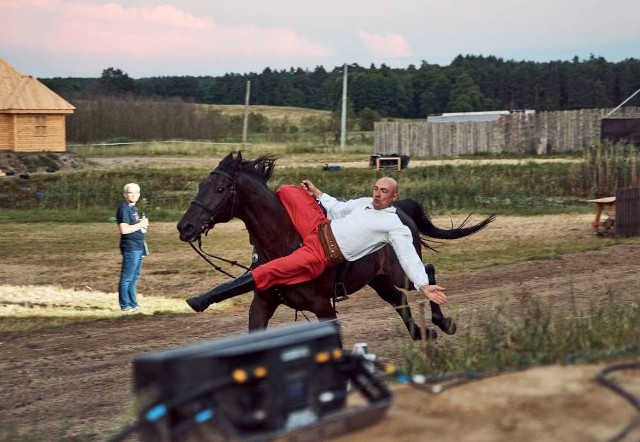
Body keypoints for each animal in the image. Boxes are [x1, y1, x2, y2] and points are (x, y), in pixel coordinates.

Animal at [176, 154, 496, 340]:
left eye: (220, 189)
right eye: (202, 184)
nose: (185, 227)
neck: (284, 242)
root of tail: (400, 210)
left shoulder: (323, 308)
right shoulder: (262, 304)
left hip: (399, 267)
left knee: (424, 272)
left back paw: (442, 321)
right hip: (378, 279)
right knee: (399, 299)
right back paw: (421, 333)